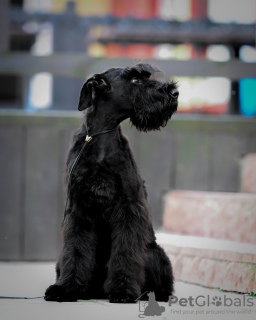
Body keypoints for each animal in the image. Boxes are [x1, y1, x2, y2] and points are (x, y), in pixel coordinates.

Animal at [44, 62, 178, 302]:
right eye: (134, 80)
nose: (174, 92)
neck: (100, 140)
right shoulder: (78, 208)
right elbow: (75, 249)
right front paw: (66, 288)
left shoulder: (128, 208)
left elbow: (125, 252)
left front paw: (123, 290)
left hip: (155, 253)